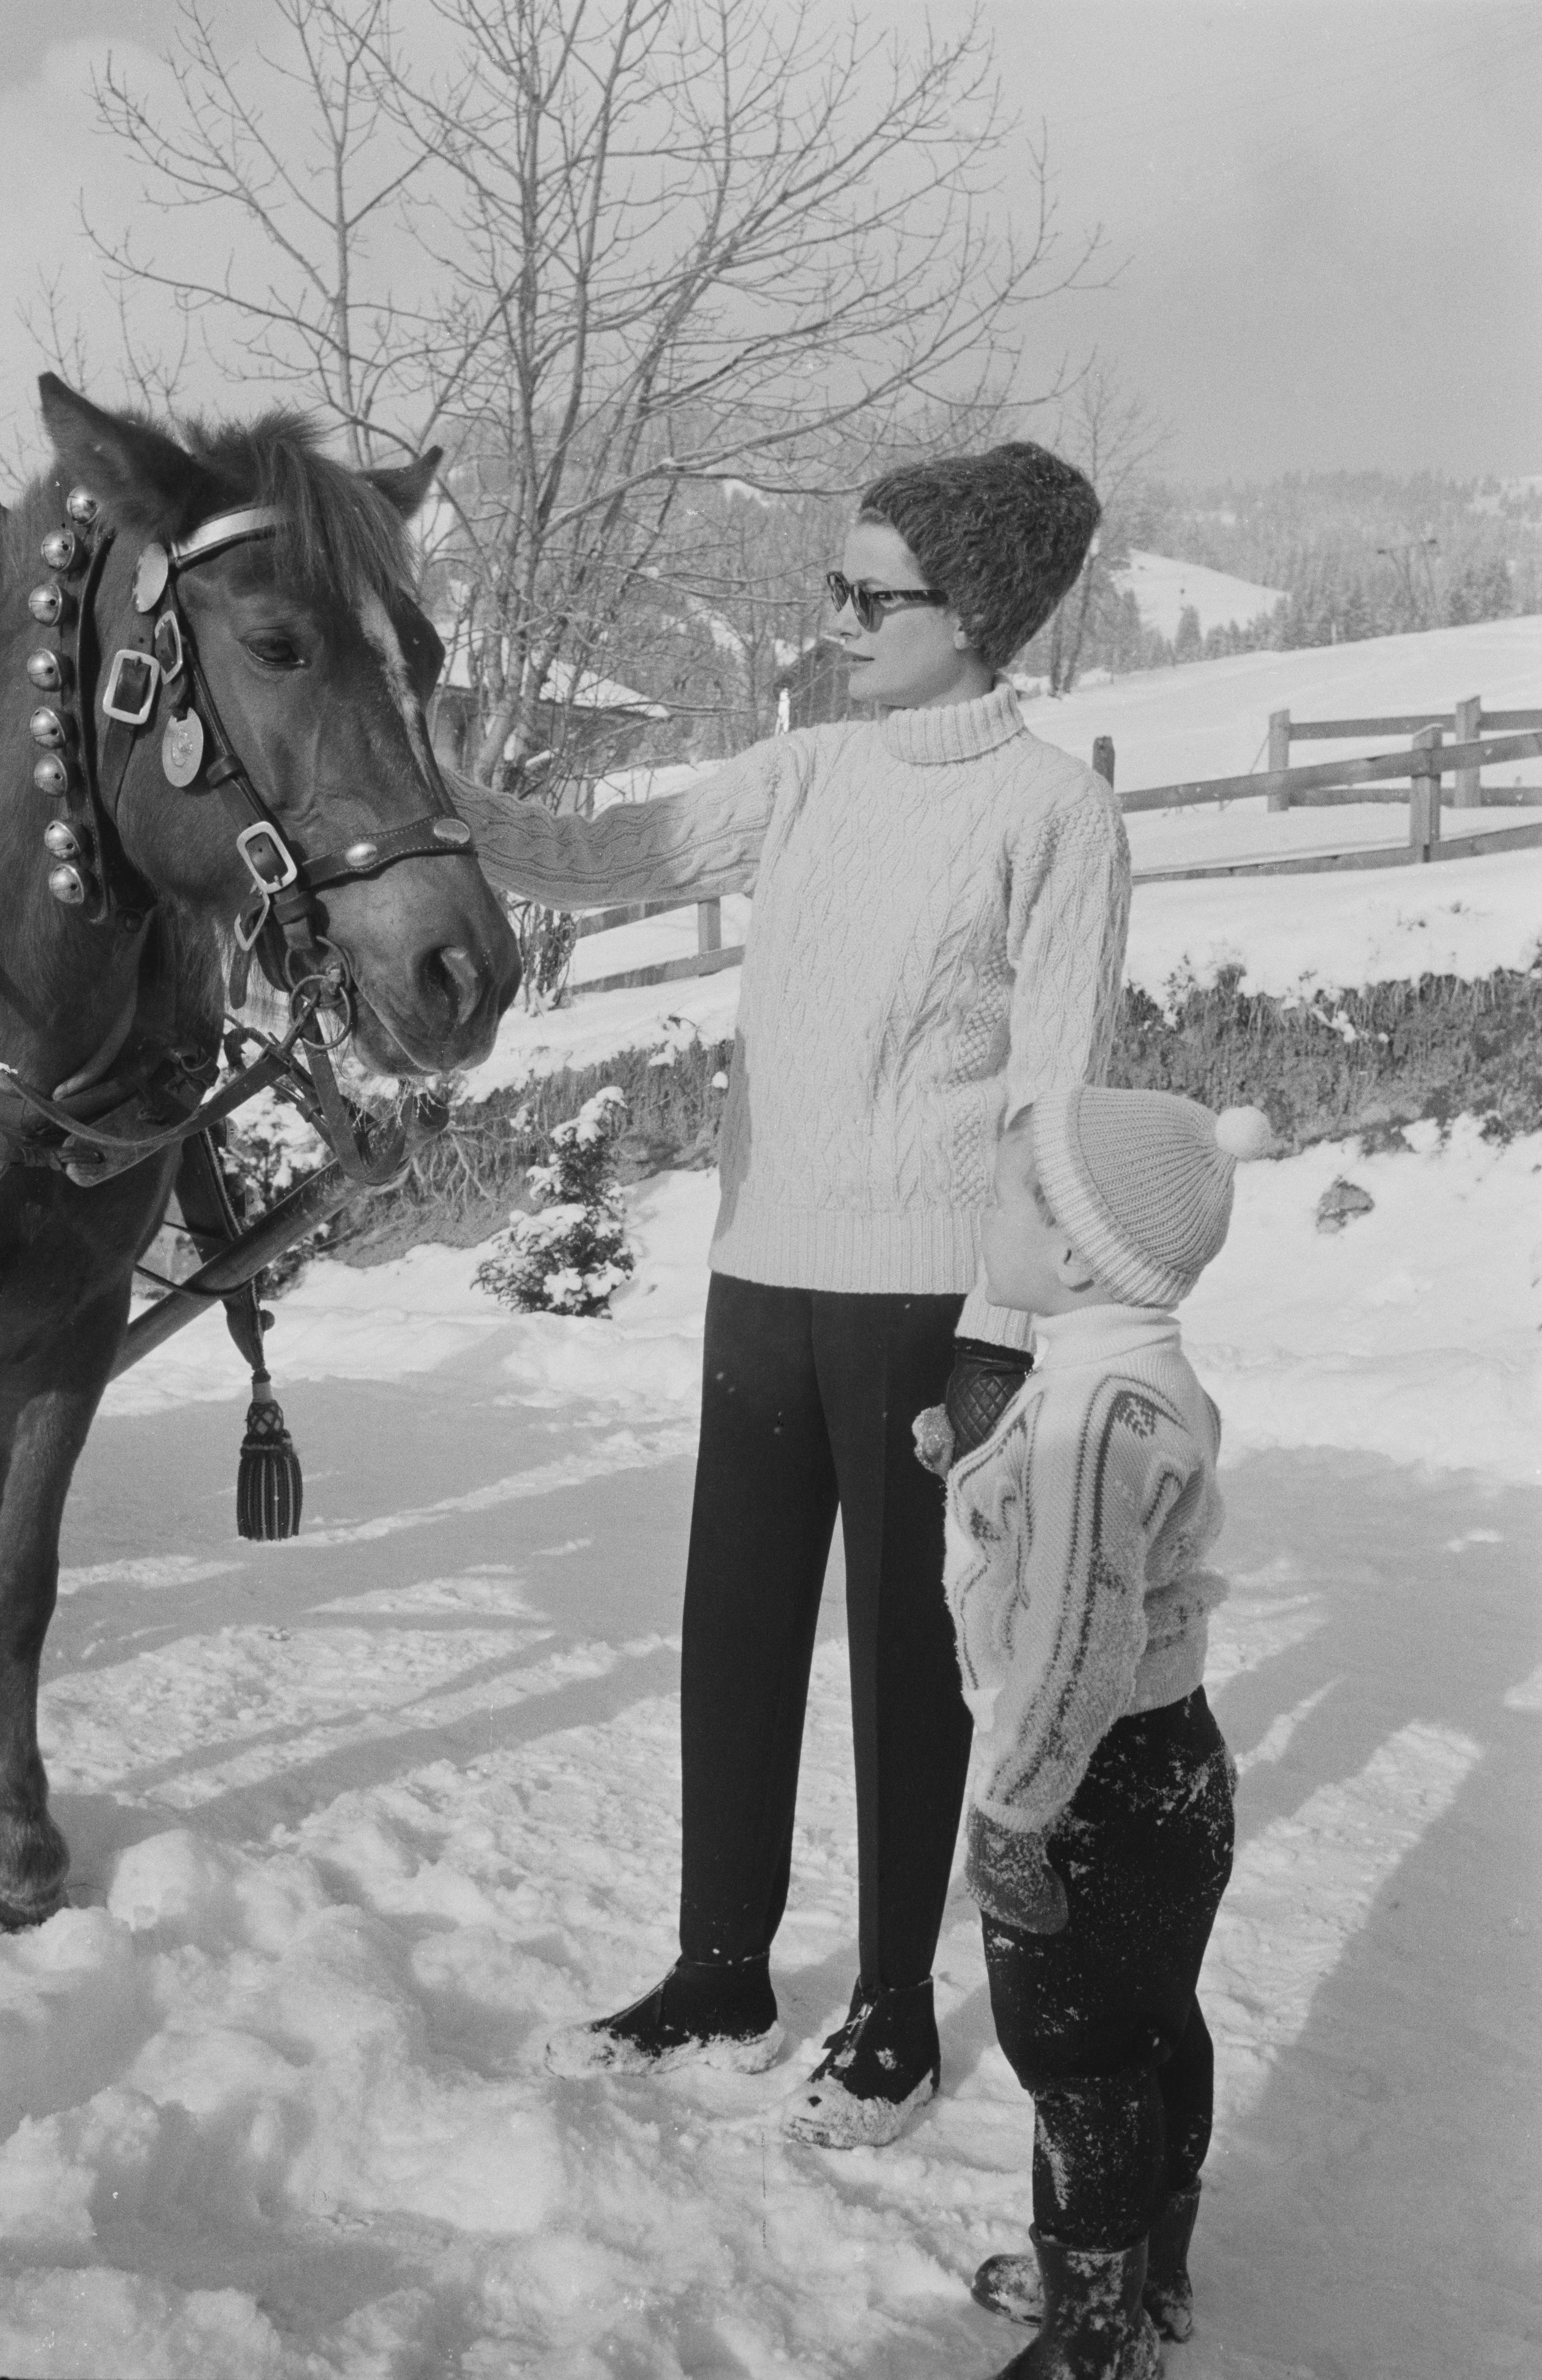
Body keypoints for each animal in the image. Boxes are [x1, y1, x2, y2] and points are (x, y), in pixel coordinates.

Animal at [0, 375, 521, 1926]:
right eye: (278, 645)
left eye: (425, 653)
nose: (467, 969)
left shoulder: (69, 1323)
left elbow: (23, 1575)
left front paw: (24, 1838)